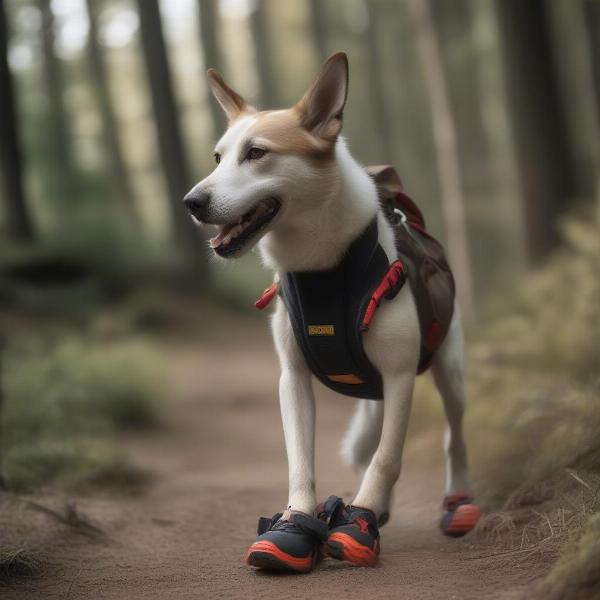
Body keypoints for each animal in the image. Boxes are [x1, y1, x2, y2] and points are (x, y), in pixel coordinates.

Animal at [185, 52, 480, 572]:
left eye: (256, 154)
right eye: (218, 158)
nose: (192, 202)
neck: (321, 266)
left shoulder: (400, 376)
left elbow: (388, 458)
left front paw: (358, 522)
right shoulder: (293, 380)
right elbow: (301, 462)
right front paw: (295, 526)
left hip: (450, 372)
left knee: (452, 438)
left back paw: (454, 502)